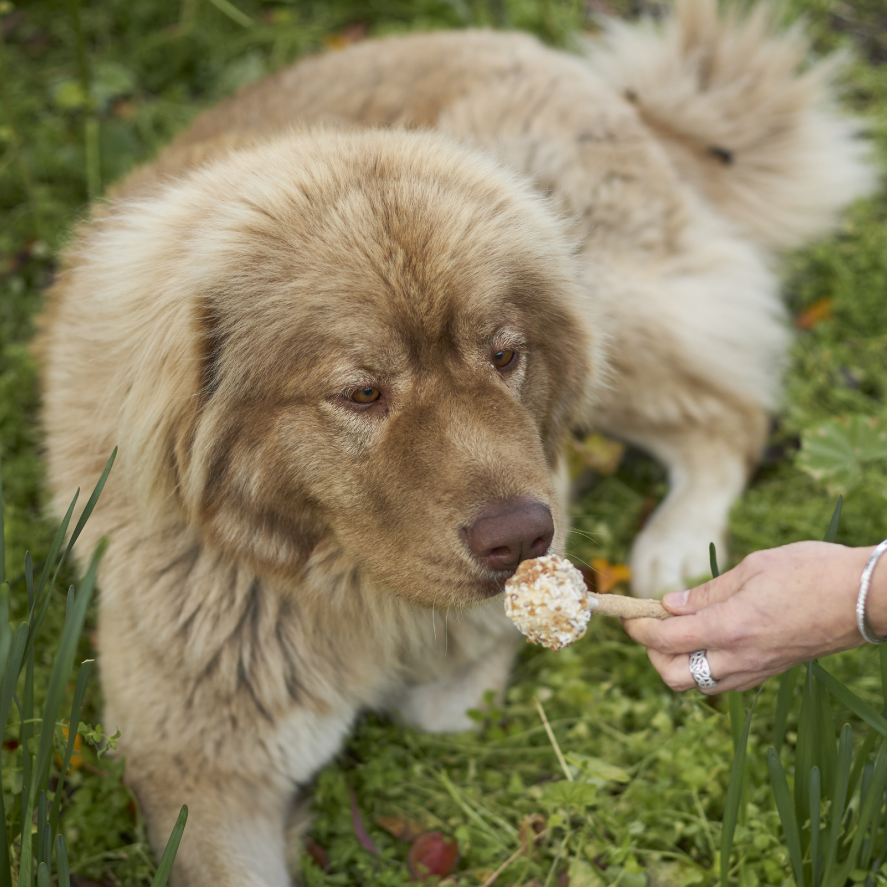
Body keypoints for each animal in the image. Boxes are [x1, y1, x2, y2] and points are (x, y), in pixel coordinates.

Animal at [41, 0, 876, 884]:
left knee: (729, 413)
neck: (344, 582)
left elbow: (445, 698)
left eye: (504, 357)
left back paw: (676, 544)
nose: (523, 537)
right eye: (362, 393)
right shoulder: (197, 770)